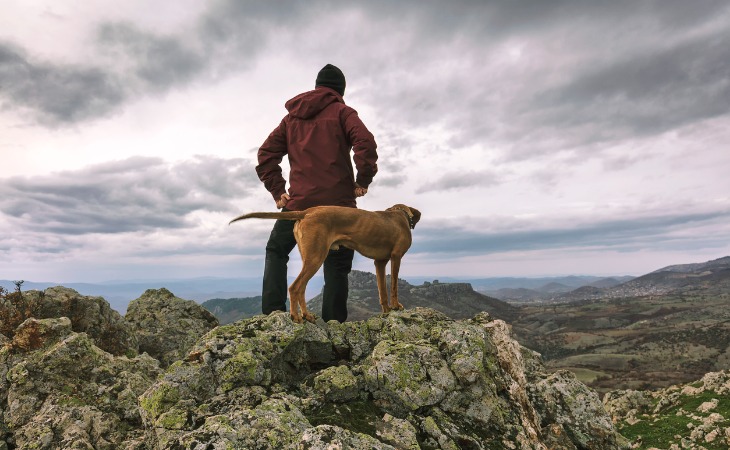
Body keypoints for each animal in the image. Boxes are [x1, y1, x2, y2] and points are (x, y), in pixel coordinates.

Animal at [230, 204, 418, 324]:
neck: (400, 215)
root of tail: (307, 211)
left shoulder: (379, 262)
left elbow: (382, 291)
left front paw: (386, 311)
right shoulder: (396, 257)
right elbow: (394, 286)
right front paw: (396, 306)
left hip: (309, 258)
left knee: (301, 288)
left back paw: (306, 315)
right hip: (316, 257)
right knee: (295, 287)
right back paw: (296, 317)